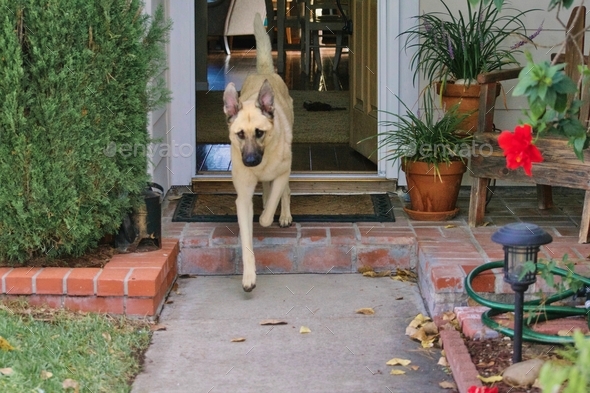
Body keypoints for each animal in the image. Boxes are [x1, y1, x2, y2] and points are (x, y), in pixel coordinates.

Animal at [223, 12, 294, 290]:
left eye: (260, 133)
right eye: (240, 135)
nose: (251, 161)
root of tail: (264, 72)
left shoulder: (283, 171)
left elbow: (273, 202)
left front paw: (268, 215)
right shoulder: (242, 198)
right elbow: (246, 241)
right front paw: (249, 276)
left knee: (283, 192)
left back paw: (283, 215)